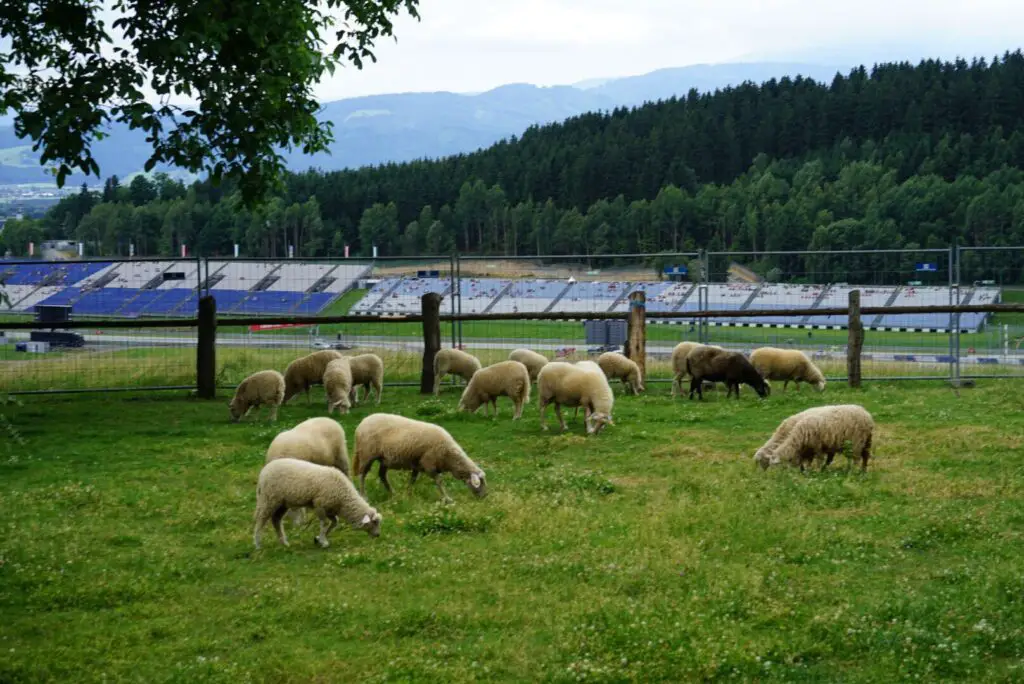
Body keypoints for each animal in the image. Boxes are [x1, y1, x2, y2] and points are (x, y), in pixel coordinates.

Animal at [253, 458, 382, 548]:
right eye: (374, 522)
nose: (378, 535)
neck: (343, 498)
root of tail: (263, 472)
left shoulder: (330, 509)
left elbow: (334, 523)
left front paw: (319, 538)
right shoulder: (319, 505)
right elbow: (325, 523)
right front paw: (323, 541)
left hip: (281, 503)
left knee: (276, 520)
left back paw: (284, 542)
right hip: (268, 499)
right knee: (260, 520)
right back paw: (258, 544)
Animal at [352, 411, 487, 501]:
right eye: (481, 482)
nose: (485, 496)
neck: (450, 457)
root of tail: (361, 423)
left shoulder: (417, 463)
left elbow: (413, 479)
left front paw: (408, 494)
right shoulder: (429, 463)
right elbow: (439, 481)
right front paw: (447, 498)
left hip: (384, 459)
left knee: (382, 475)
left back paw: (392, 493)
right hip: (367, 454)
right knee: (362, 475)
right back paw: (363, 495)